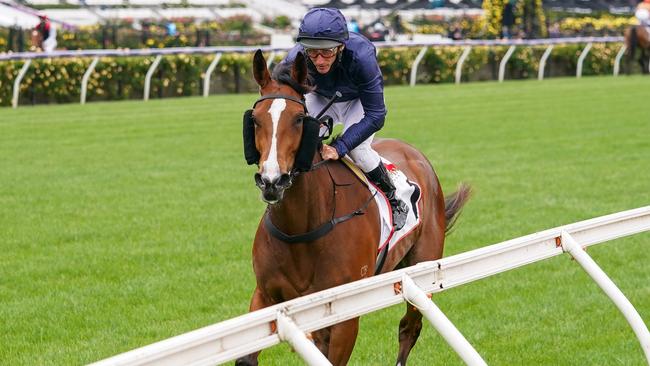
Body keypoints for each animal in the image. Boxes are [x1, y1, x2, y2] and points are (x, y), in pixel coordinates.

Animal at [235, 49, 468, 366]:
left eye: (299, 119)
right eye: (256, 119)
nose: (272, 180)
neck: (302, 228)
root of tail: (414, 153)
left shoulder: (346, 315)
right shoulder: (266, 299)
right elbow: (247, 357)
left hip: (425, 264)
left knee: (410, 327)